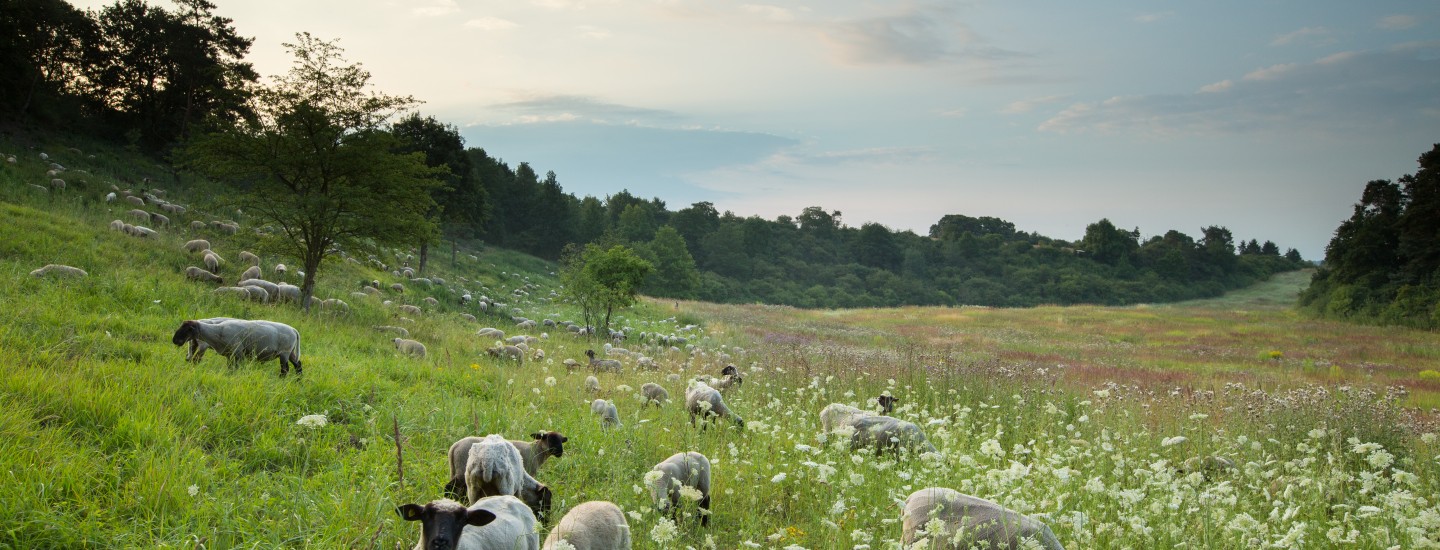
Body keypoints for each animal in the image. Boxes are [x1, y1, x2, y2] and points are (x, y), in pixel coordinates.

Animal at [169, 315, 302, 377]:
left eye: (187, 329)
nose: (174, 340)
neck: (218, 331)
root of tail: (294, 330)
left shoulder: (238, 352)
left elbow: (237, 367)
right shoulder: (229, 354)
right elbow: (230, 367)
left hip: (284, 353)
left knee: (285, 370)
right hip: (290, 352)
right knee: (298, 365)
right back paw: (298, 381)